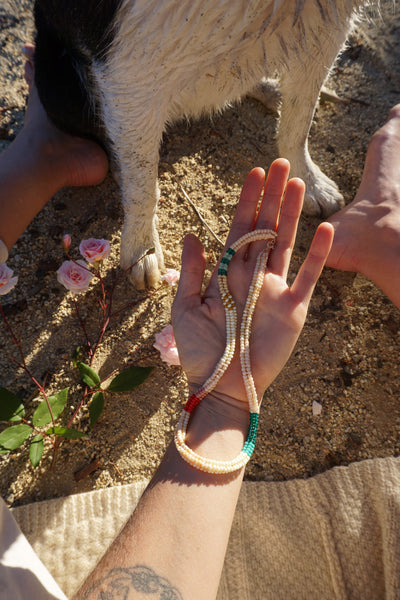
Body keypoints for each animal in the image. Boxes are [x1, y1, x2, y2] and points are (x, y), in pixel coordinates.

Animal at [32, 0, 370, 288]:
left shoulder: (326, 28)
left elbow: (298, 123)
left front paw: (309, 183)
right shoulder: (129, 66)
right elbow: (143, 188)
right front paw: (143, 252)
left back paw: (268, 89)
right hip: (60, 85)